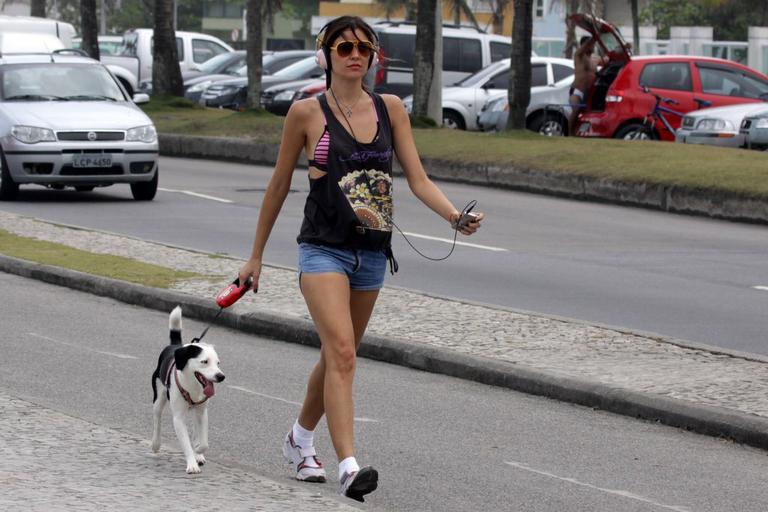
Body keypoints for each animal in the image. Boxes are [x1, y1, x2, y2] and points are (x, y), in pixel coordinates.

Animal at [149, 306, 222, 474]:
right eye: (204, 362)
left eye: (218, 363)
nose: (221, 376)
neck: (193, 385)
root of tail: (176, 346)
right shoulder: (178, 418)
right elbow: (186, 443)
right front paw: (192, 464)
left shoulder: (202, 412)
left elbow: (203, 442)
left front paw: (198, 452)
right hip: (159, 397)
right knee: (157, 418)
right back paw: (156, 444)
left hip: (196, 411)